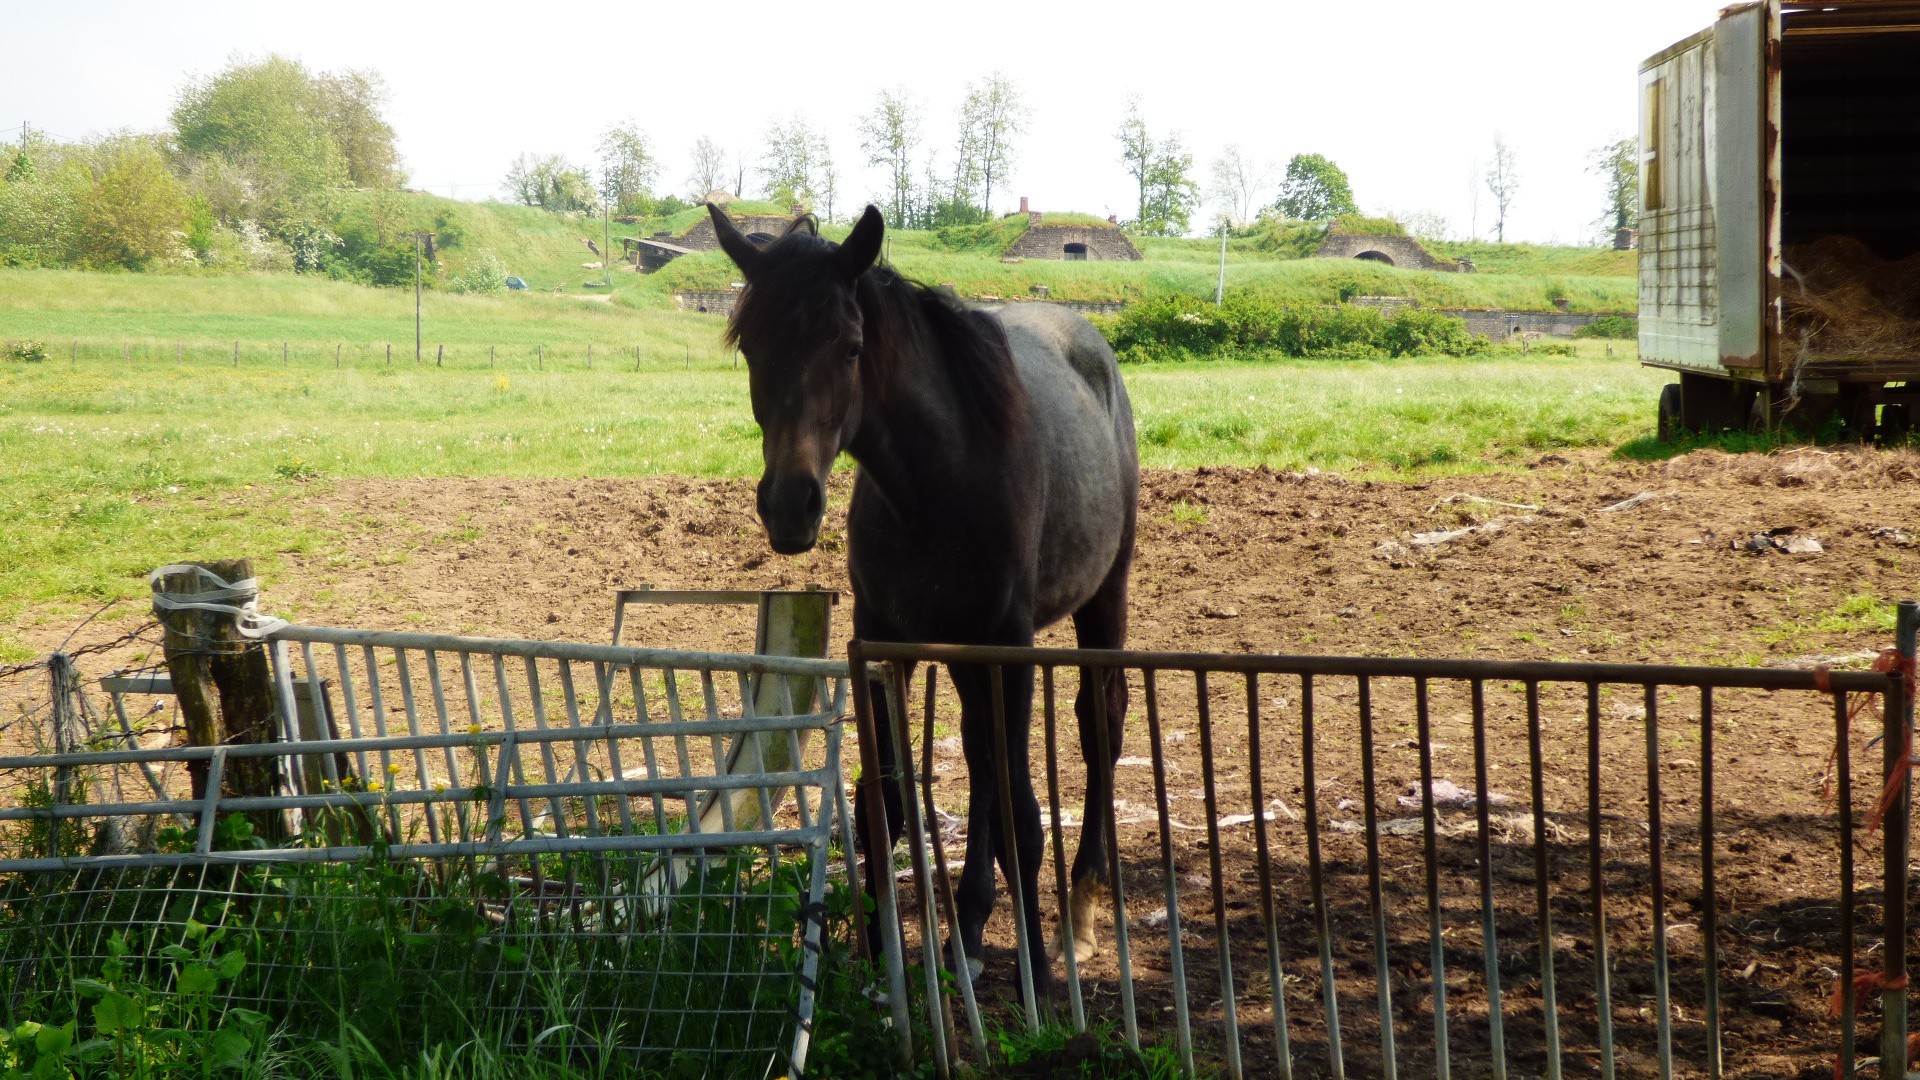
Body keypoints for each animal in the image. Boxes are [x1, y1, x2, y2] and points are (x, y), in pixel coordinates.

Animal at [710, 203, 1136, 999]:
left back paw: (1082, 910)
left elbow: (1018, 807)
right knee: (979, 756)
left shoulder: (1009, 644)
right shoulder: (884, 642)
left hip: (1103, 595)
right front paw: (880, 955)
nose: (789, 505)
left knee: (1100, 722)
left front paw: (1032, 964)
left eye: (850, 348)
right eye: (751, 345)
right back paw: (967, 928)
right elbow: (890, 799)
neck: (938, 481)